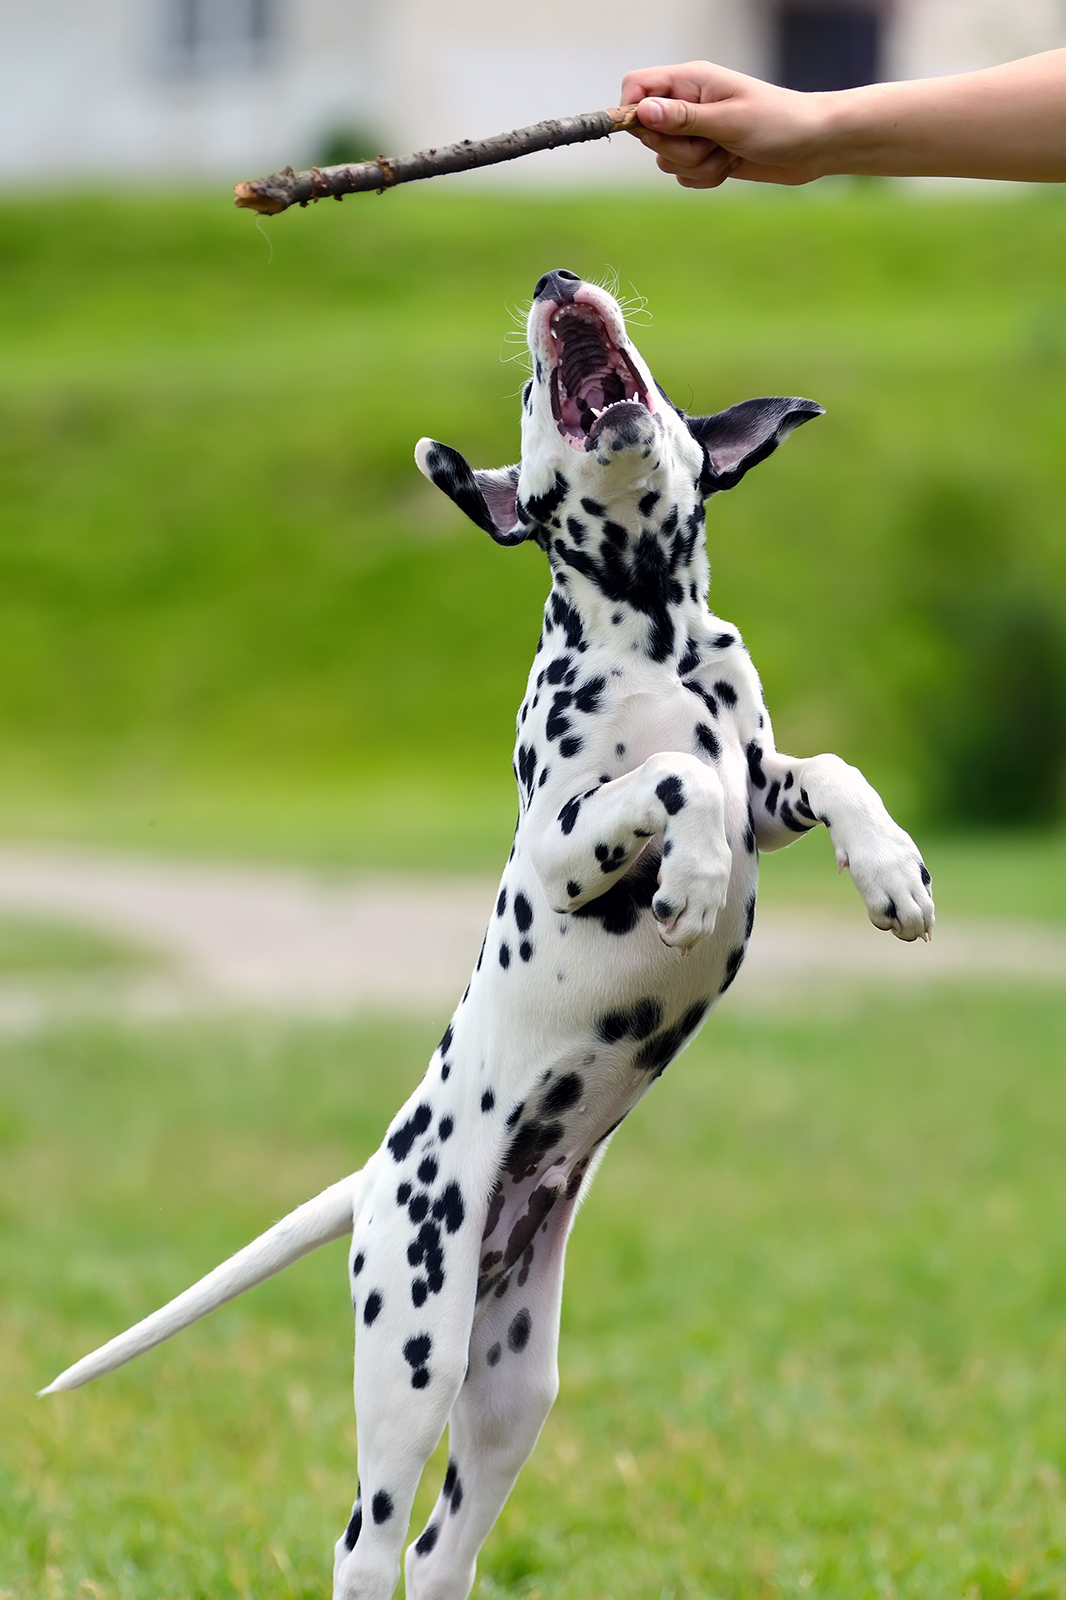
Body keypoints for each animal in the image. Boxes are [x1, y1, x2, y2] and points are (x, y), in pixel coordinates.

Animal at [43, 268, 928, 1593]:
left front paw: (890, 873)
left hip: (511, 1389)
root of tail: (375, 1175)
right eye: (523, 386)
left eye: (655, 380)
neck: (654, 634)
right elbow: (674, 777)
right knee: (365, 1542)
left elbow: (818, 768)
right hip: (414, 1352)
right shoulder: (563, 845)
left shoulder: (767, 786)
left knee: (437, 1549)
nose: (557, 280)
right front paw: (690, 882)